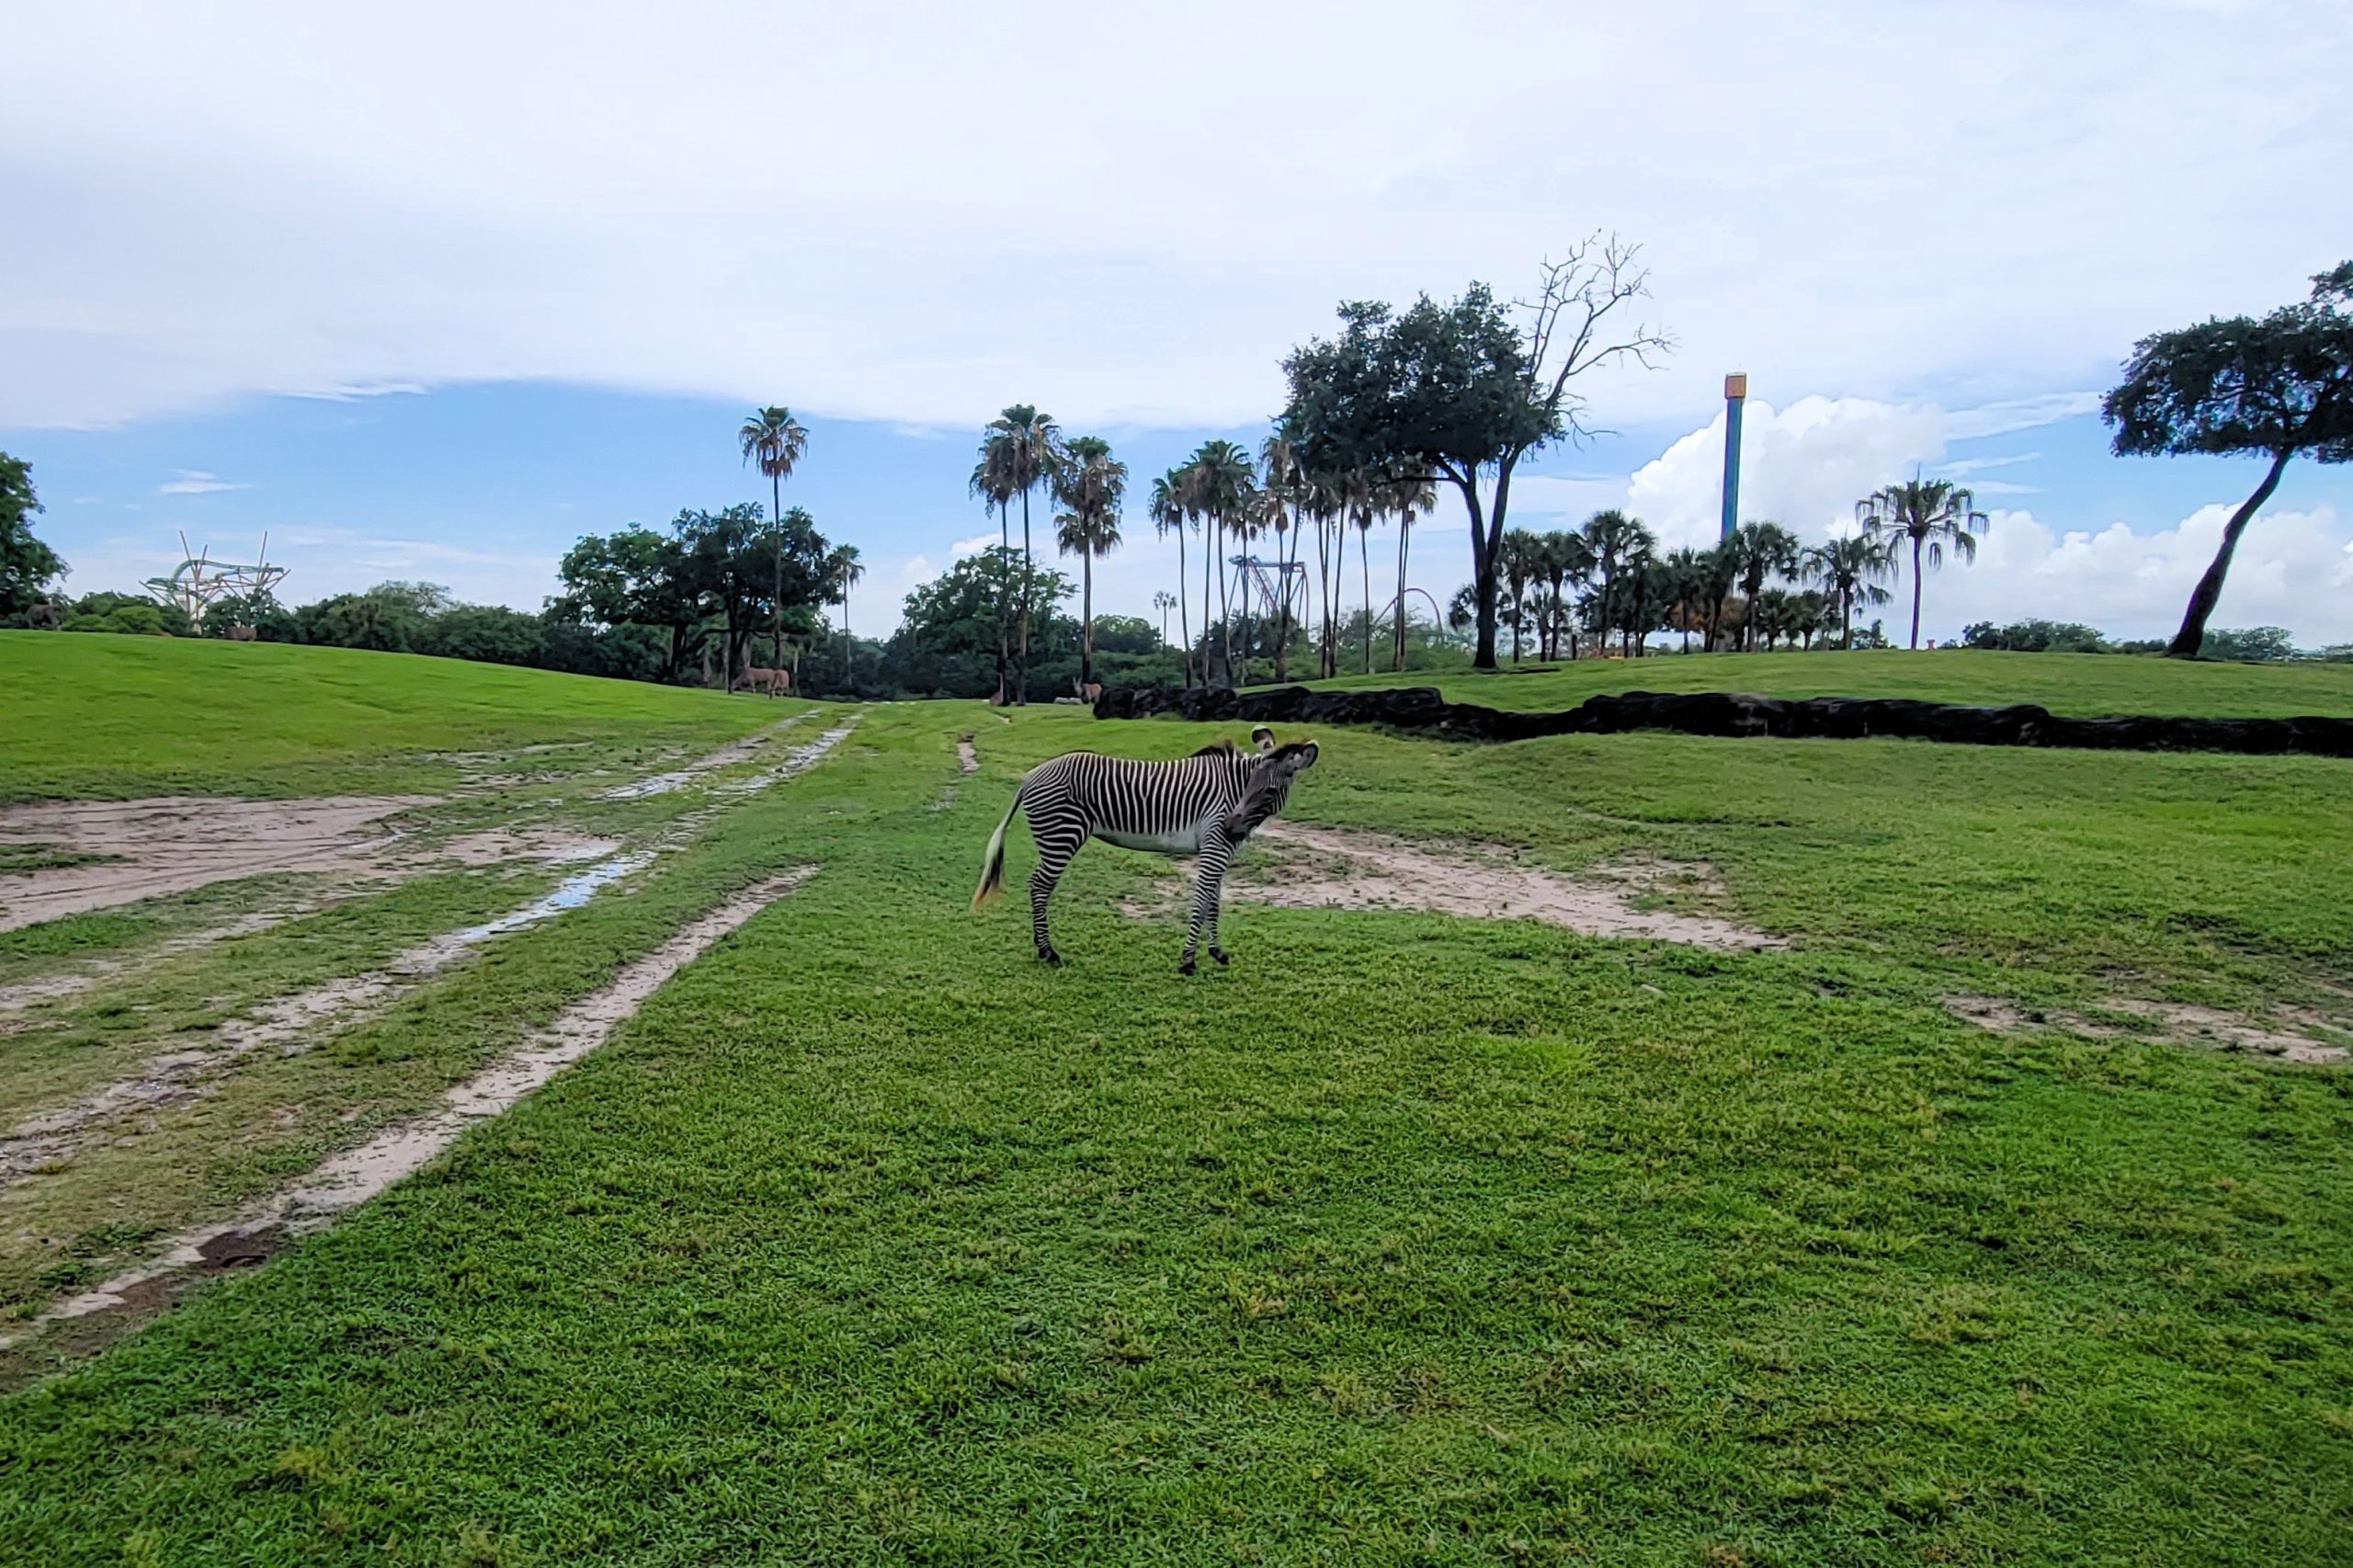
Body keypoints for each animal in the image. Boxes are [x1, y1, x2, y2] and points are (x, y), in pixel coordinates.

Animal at [971, 726, 1321, 973]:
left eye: (1269, 791)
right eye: (1248, 785)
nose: (1230, 827)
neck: (1231, 791)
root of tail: (1030, 776)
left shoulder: (1220, 849)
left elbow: (1214, 902)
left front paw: (1216, 952)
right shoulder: (1214, 845)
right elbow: (1201, 900)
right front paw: (1188, 960)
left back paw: (1042, 947)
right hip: (1062, 835)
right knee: (1039, 886)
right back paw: (1048, 952)